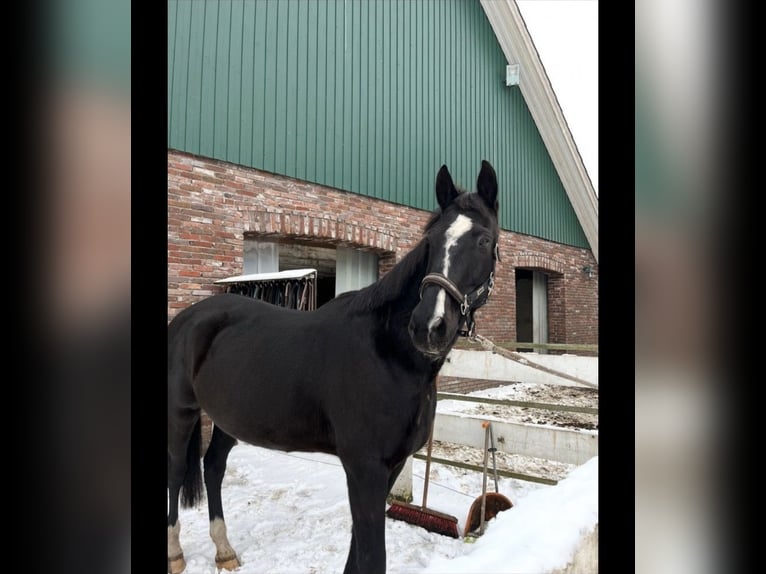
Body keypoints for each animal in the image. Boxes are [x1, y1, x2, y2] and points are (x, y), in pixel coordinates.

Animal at [167, 160, 500, 574]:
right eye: (431, 242)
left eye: (484, 240)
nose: (429, 325)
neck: (388, 355)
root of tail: (189, 318)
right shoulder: (364, 467)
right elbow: (372, 555)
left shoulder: (388, 468)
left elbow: (357, 552)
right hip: (181, 412)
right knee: (176, 470)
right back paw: (175, 553)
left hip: (229, 417)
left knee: (213, 467)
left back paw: (224, 550)